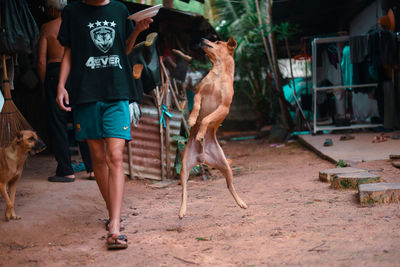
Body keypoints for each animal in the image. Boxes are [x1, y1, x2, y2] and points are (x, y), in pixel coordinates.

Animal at [180, 37, 248, 220]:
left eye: (217, 41)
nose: (202, 39)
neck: (218, 74)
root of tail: (202, 157)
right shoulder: (198, 93)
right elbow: (197, 107)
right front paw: (192, 119)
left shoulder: (224, 107)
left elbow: (206, 119)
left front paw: (200, 132)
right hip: (184, 168)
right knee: (184, 191)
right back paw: (182, 210)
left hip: (226, 167)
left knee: (230, 186)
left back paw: (241, 203)